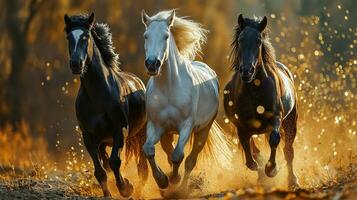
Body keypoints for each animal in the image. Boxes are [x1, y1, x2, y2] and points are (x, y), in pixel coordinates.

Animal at [64, 13, 147, 197]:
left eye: (85, 36)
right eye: (68, 38)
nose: (76, 64)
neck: (98, 95)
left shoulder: (120, 130)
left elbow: (115, 161)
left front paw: (126, 188)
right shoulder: (88, 136)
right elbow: (100, 170)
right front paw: (109, 193)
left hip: (141, 133)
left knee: (143, 165)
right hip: (102, 141)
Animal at [140, 9, 232, 191]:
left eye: (166, 36)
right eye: (146, 35)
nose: (152, 64)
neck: (169, 88)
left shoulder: (186, 125)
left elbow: (178, 155)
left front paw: (174, 179)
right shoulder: (156, 126)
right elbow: (149, 150)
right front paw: (162, 180)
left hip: (203, 131)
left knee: (190, 160)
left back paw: (182, 187)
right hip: (167, 133)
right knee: (168, 152)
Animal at [224, 14, 298, 188]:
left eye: (258, 41)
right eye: (240, 40)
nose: (247, 71)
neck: (255, 89)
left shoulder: (277, 117)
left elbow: (275, 139)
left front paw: (271, 169)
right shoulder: (241, 124)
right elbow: (247, 144)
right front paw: (256, 167)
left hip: (291, 121)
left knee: (288, 150)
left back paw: (292, 181)